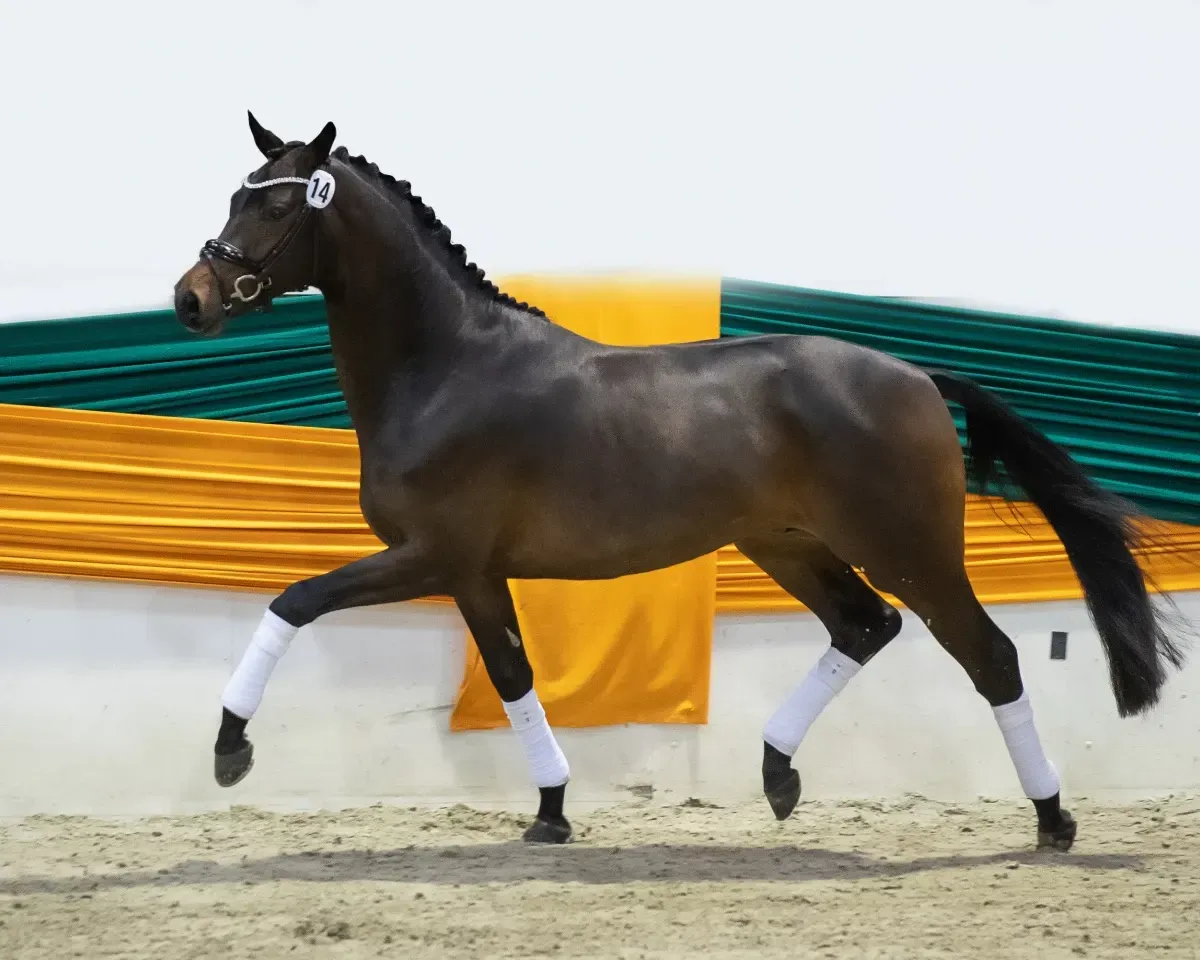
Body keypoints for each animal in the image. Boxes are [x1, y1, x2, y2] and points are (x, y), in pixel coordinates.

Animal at [172, 113, 1186, 848]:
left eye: (276, 209)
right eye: (232, 196)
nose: (191, 298)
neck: (446, 368)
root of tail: (917, 375)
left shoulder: (432, 557)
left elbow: (294, 600)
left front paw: (229, 750)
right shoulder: (475, 574)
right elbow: (513, 675)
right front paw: (550, 815)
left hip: (911, 550)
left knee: (991, 657)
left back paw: (1053, 821)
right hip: (787, 544)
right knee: (866, 625)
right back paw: (778, 775)